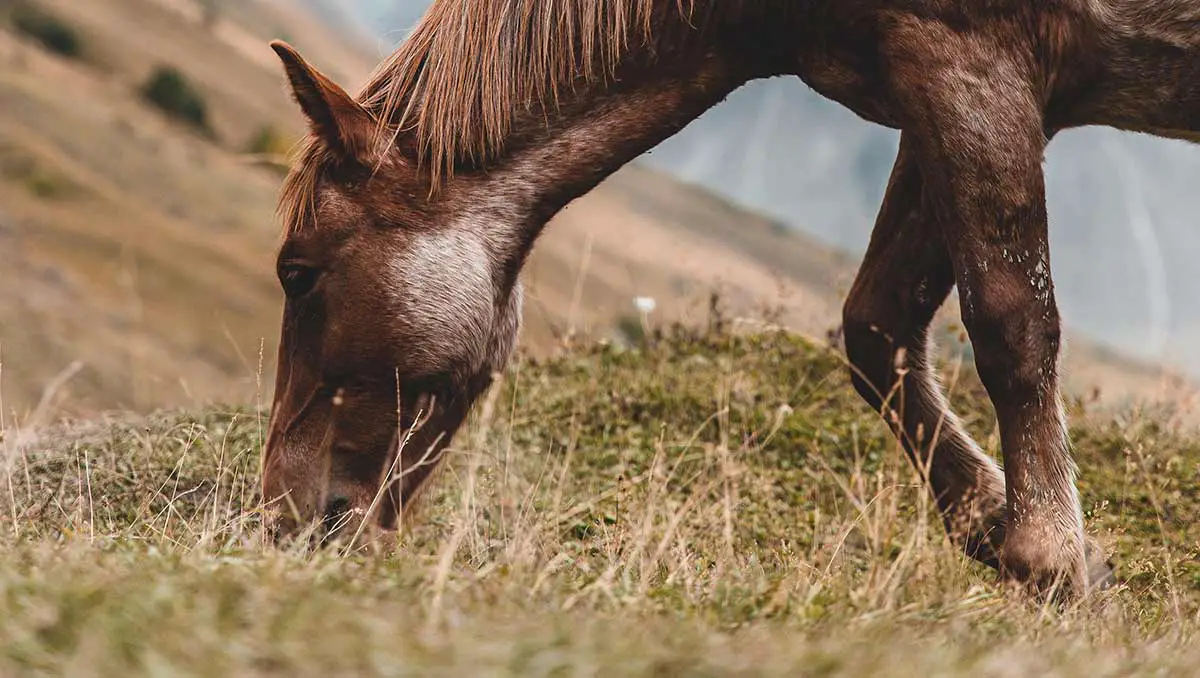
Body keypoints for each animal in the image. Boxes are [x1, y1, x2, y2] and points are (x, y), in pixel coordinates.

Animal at [258, 0, 1195, 595]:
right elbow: (878, 327)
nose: (283, 519)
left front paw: (1048, 559)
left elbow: (1009, 321)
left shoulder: (971, 67)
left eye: (298, 271)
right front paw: (997, 524)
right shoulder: (933, 84)